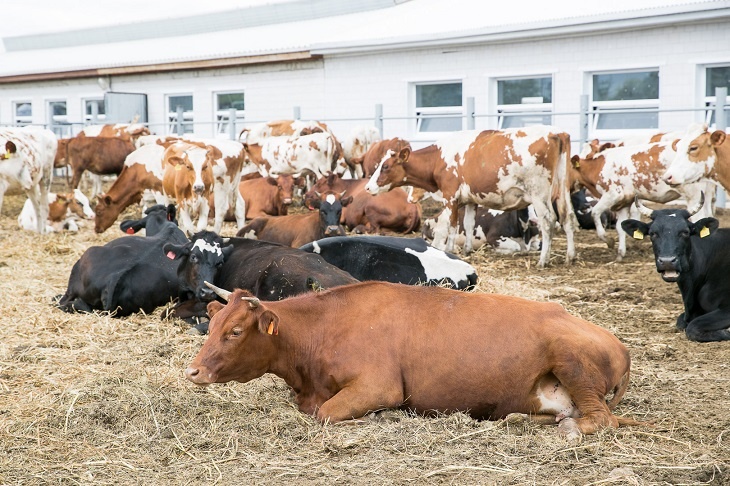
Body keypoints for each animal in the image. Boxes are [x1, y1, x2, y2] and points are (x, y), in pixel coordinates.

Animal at [185, 280, 640, 440]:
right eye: (212, 324)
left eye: (235, 331)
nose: (193, 370)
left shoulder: (378, 385)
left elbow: (327, 414)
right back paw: (520, 420)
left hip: (572, 361)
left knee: (601, 419)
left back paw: (572, 428)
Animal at [362, 127, 572, 268]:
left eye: (386, 166)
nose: (367, 187)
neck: (439, 158)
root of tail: (556, 133)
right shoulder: (470, 200)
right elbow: (469, 224)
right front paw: (467, 250)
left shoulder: (450, 197)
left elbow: (452, 227)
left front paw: (449, 251)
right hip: (564, 190)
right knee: (567, 217)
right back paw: (571, 256)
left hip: (539, 194)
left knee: (548, 221)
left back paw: (543, 260)